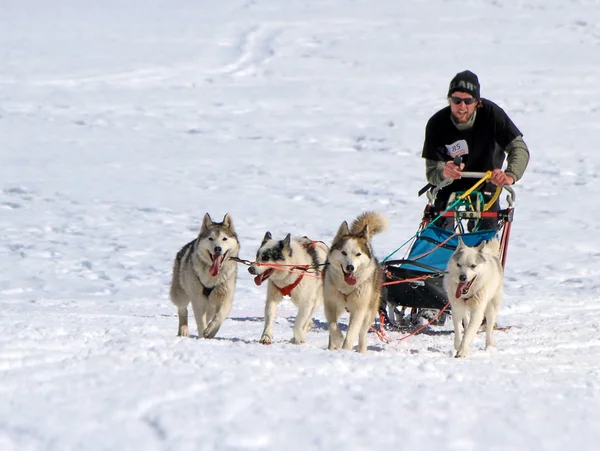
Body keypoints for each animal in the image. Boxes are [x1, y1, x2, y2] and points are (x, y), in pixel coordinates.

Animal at [324, 212, 390, 354]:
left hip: (369, 312)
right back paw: (332, 347)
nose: (350, 267)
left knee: (362, 333)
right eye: (344, 252)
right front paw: (338, 341)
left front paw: (345, 349)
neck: (346, 288)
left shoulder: (359, 310)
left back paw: (361, 350)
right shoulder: (330, 305)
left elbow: (351, 334)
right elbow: (333, 326)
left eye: (358, 254)